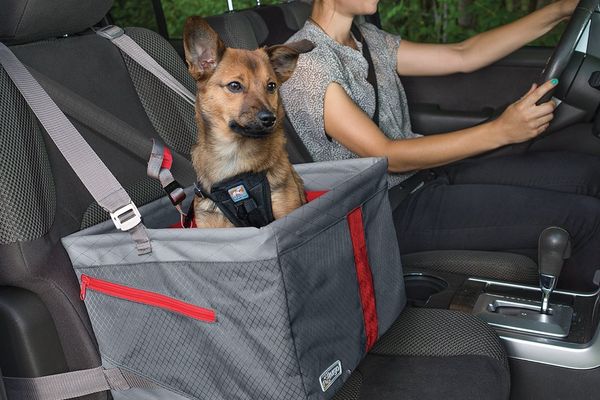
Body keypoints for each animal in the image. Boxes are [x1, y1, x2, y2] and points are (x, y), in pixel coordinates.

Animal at [183, 17, 314, 228]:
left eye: (271, 86)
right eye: (235, 86)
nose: (270, 118)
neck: (234, 155)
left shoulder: (286, 212)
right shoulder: (212, 221)